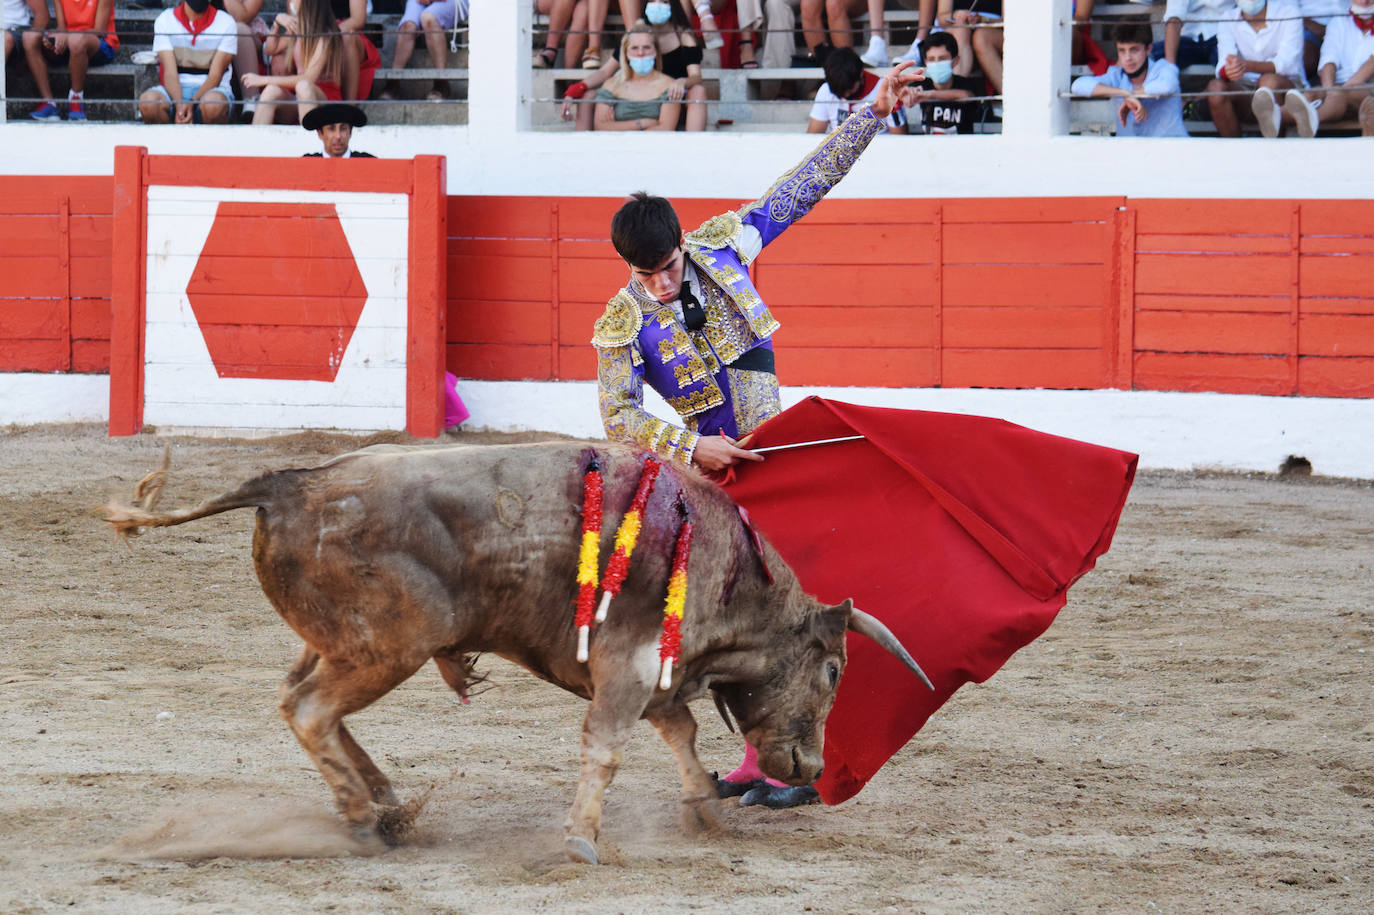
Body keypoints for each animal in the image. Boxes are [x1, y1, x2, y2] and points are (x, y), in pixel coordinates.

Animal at [107, 442, 923, 862]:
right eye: (833, 669)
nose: (813, 767)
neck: (725, 569)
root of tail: (284, 484)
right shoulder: (627, 669)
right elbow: (609, 748)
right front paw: (583, 841)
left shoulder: (655, 676)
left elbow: (682, 734)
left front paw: (703, 811)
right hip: (390, 646)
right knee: (311, 710)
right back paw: (367, 820)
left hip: (341, 640)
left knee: (299, 700)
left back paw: (389, 806)